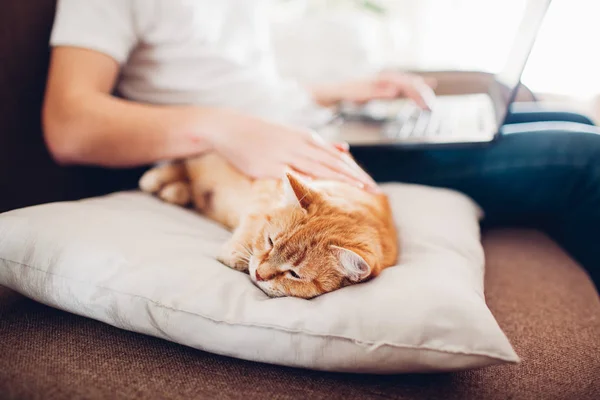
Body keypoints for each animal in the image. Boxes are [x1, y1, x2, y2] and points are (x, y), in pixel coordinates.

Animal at [139, 155, 398, 298]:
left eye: (294, 274)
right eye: (270, 242)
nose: (258, 274)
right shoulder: (262, 194)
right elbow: (254, 218)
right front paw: (236, 253)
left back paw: (176, 191)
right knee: (181, 165)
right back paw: (156, 179)